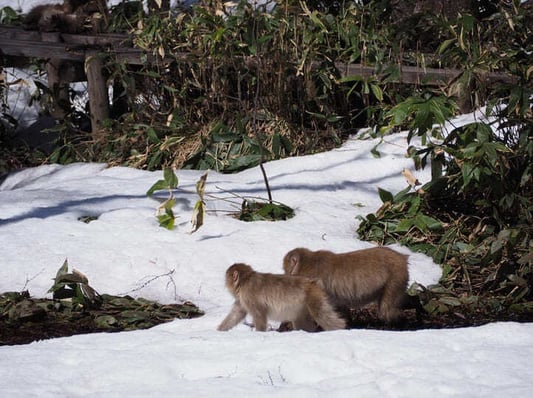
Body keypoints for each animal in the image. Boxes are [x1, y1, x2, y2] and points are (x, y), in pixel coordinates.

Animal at [216, 262, 344, 332]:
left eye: (227, 277)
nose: (225, 283)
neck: (245, 281)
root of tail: (313, 282)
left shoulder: (249, 296)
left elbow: (259, 315)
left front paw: (259, 332)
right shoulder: (243, 299)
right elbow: (237, 314)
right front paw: (219, 331)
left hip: (314, 296)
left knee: (322, 315)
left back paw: (338, 329)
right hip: (302, 307)